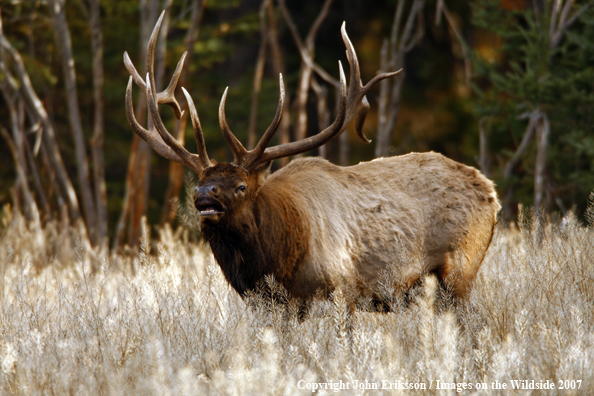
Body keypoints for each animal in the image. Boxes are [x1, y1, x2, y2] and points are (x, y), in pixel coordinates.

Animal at [125, 12, 500, 304]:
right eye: (200, 182)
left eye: (241, 186)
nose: (204, 195)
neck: (279, 259)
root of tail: (490, 191)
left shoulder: (342, 288)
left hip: (461, 266)